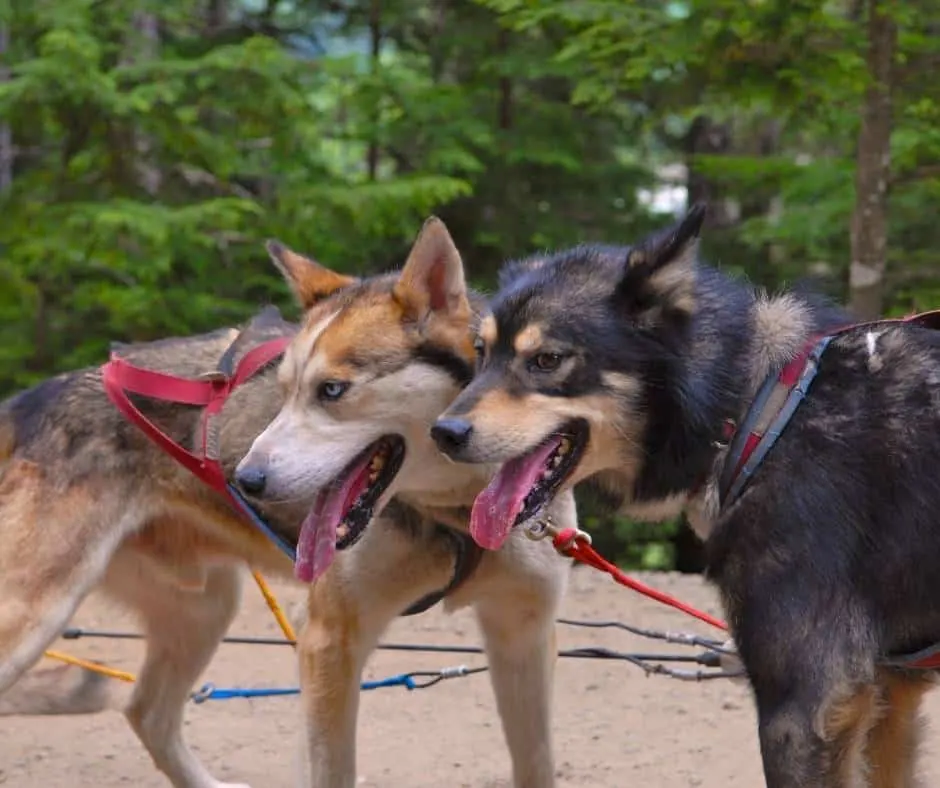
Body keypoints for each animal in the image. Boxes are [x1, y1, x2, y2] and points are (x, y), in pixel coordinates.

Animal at [0, 217, 572, 788]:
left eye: (332, 390)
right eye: (283, 392)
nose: (246, 479)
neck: (458, 509)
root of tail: (30, 400)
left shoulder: (524, 633)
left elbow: (538, 764)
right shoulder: (328, 640)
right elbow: (331, 770)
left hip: (206, 607)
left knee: (147, 712)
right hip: (35, 617)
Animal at [436, 205, 940, 788]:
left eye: (547, 360)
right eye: (481, 351)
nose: (443, 432)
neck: (755, 409)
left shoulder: (805, 709)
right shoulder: (890, 693)